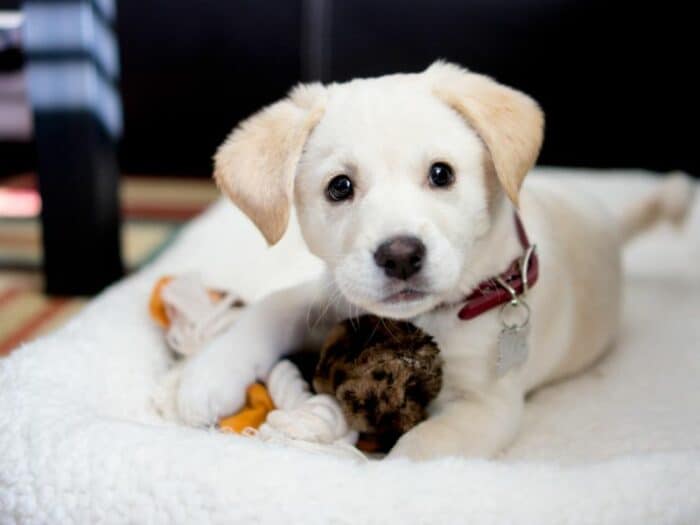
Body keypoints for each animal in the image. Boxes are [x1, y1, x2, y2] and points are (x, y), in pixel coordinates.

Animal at [176, 60, 696, 458]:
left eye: (442, 174)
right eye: (339, 187)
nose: (401, 256)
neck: (426, 319)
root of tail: (609, 220)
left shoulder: (487, 406)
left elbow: (419, 449)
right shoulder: (334, 295)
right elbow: (269, 310)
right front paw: (204, 379)